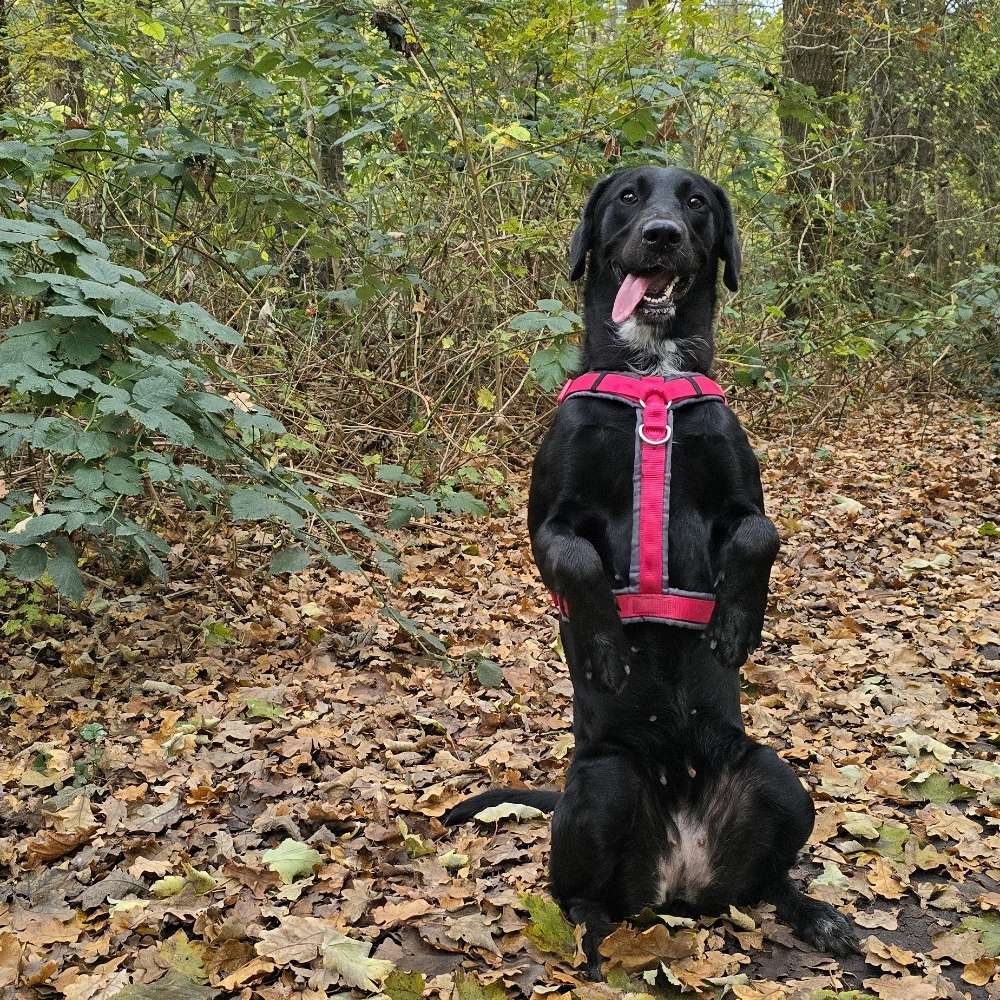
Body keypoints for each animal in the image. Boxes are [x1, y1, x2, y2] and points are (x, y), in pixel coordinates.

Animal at [446, 166, 860, 976]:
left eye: (696, 202)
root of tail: (681, 883)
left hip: (779, 782)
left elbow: (761, 533)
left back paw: (815, 913)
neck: (654, 383)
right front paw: (607, 646)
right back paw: (592, 939)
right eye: (628, 199)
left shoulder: (739, 499)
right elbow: (576, 560)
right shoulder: (549, 521)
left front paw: (736, 622)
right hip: (602, 788)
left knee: (770, 881)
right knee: (576, 894)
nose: (663, 234)